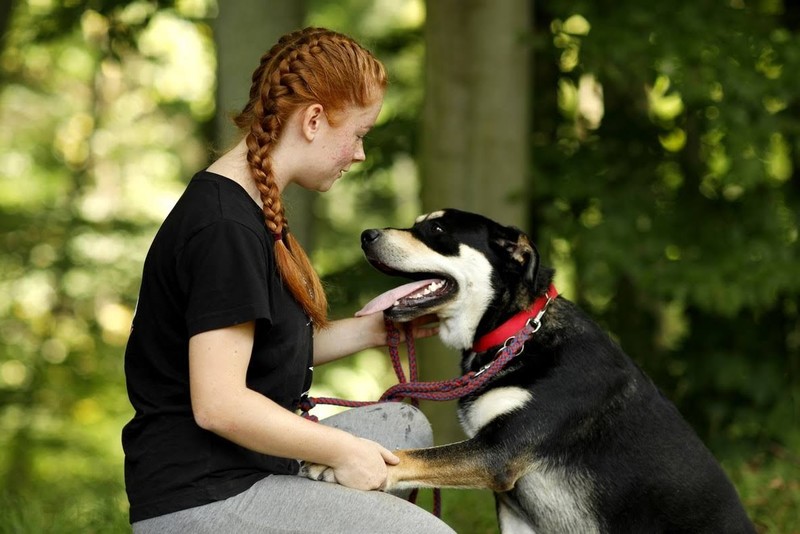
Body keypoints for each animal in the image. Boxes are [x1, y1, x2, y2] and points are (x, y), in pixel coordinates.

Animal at [304, 209, 752, 534]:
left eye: (436, 228)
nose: (366, 235)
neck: (515, 334)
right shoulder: (513, 505)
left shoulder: (495, 453)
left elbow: (407, 458)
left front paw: (337, 464)